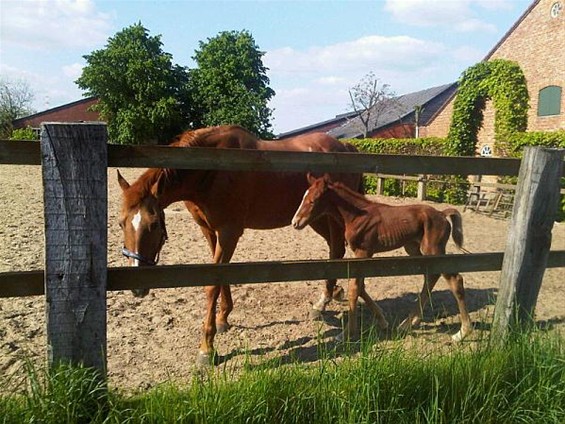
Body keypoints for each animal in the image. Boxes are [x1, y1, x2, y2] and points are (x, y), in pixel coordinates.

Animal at [117, 125, 362, 364]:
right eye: (121, 223)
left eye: (154, 224)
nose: (137, 287)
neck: (210, 172)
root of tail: (346, 147)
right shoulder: (210, 232)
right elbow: (221, 275)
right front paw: (223, 318)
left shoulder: (229, 232)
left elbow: (212, 285)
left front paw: (206, 349)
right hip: (314, 218)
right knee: (334, 250)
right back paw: (329, 296)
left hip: (331, 216)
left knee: (337, 249)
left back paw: (323, 301)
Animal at [290, 172, 472, 342]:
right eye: (303, 197)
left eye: (313, 200)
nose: (295, 222)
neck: (357, 216)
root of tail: (442, 213)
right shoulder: (363, 255)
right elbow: (361, 287)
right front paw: (383, 321)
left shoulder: (363, 252)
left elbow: (355, 288)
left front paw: (346, 333)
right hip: (414, 248)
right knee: (431, 276)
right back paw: (408, 323)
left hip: (434, 250)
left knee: (454, 280)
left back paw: (462, 332)